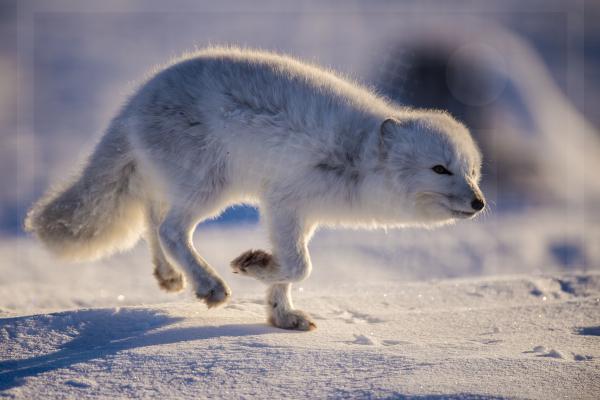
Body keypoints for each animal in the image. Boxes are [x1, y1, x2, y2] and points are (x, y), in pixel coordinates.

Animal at [25, 47, 486, 332]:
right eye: (440, 169)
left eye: (473, 172)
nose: (480, 202)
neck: (357, 159)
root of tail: (134, 99)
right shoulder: (283, 201)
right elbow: (300, 266)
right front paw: (254, 266)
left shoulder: (302, 216)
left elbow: (292, 269)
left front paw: (282, 316)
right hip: (211, 185)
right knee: (171, 228)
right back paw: (209, 285)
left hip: (179, 181)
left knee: (152, 217)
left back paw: (170, 276)